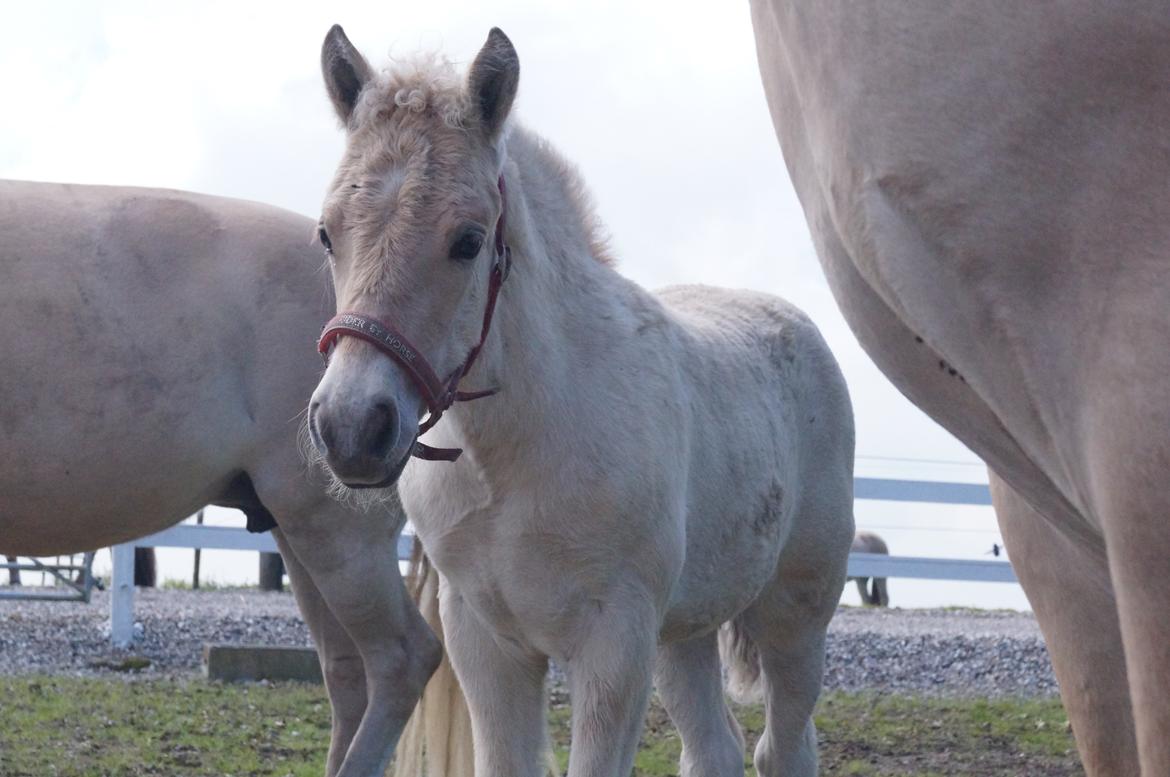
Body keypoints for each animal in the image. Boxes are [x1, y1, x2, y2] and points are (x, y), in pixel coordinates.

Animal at [308, 27, 861, 772]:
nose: (352, 427)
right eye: (327, 232)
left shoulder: (613, 644)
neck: (513, 454)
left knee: (785, 744)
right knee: (713, 747)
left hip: (796, 615)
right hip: (684, 631)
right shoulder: (487, 645)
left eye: (468, 240)